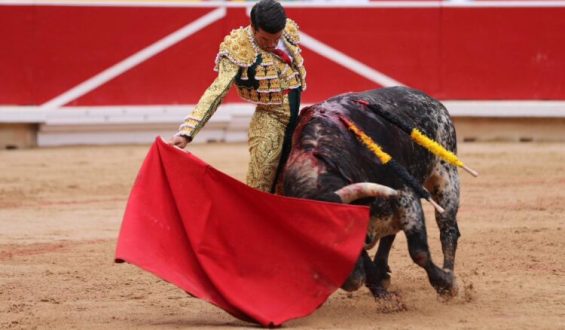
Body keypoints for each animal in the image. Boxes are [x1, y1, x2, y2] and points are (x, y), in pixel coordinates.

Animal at [276, 87, 458, 300]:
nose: (349, 282)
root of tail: (429, 99)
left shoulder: (405, 194)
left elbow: (418, 251)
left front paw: (445, 284)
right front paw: (383, 292)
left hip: (446, 176)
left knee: (448, 227)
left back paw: (448, 273)